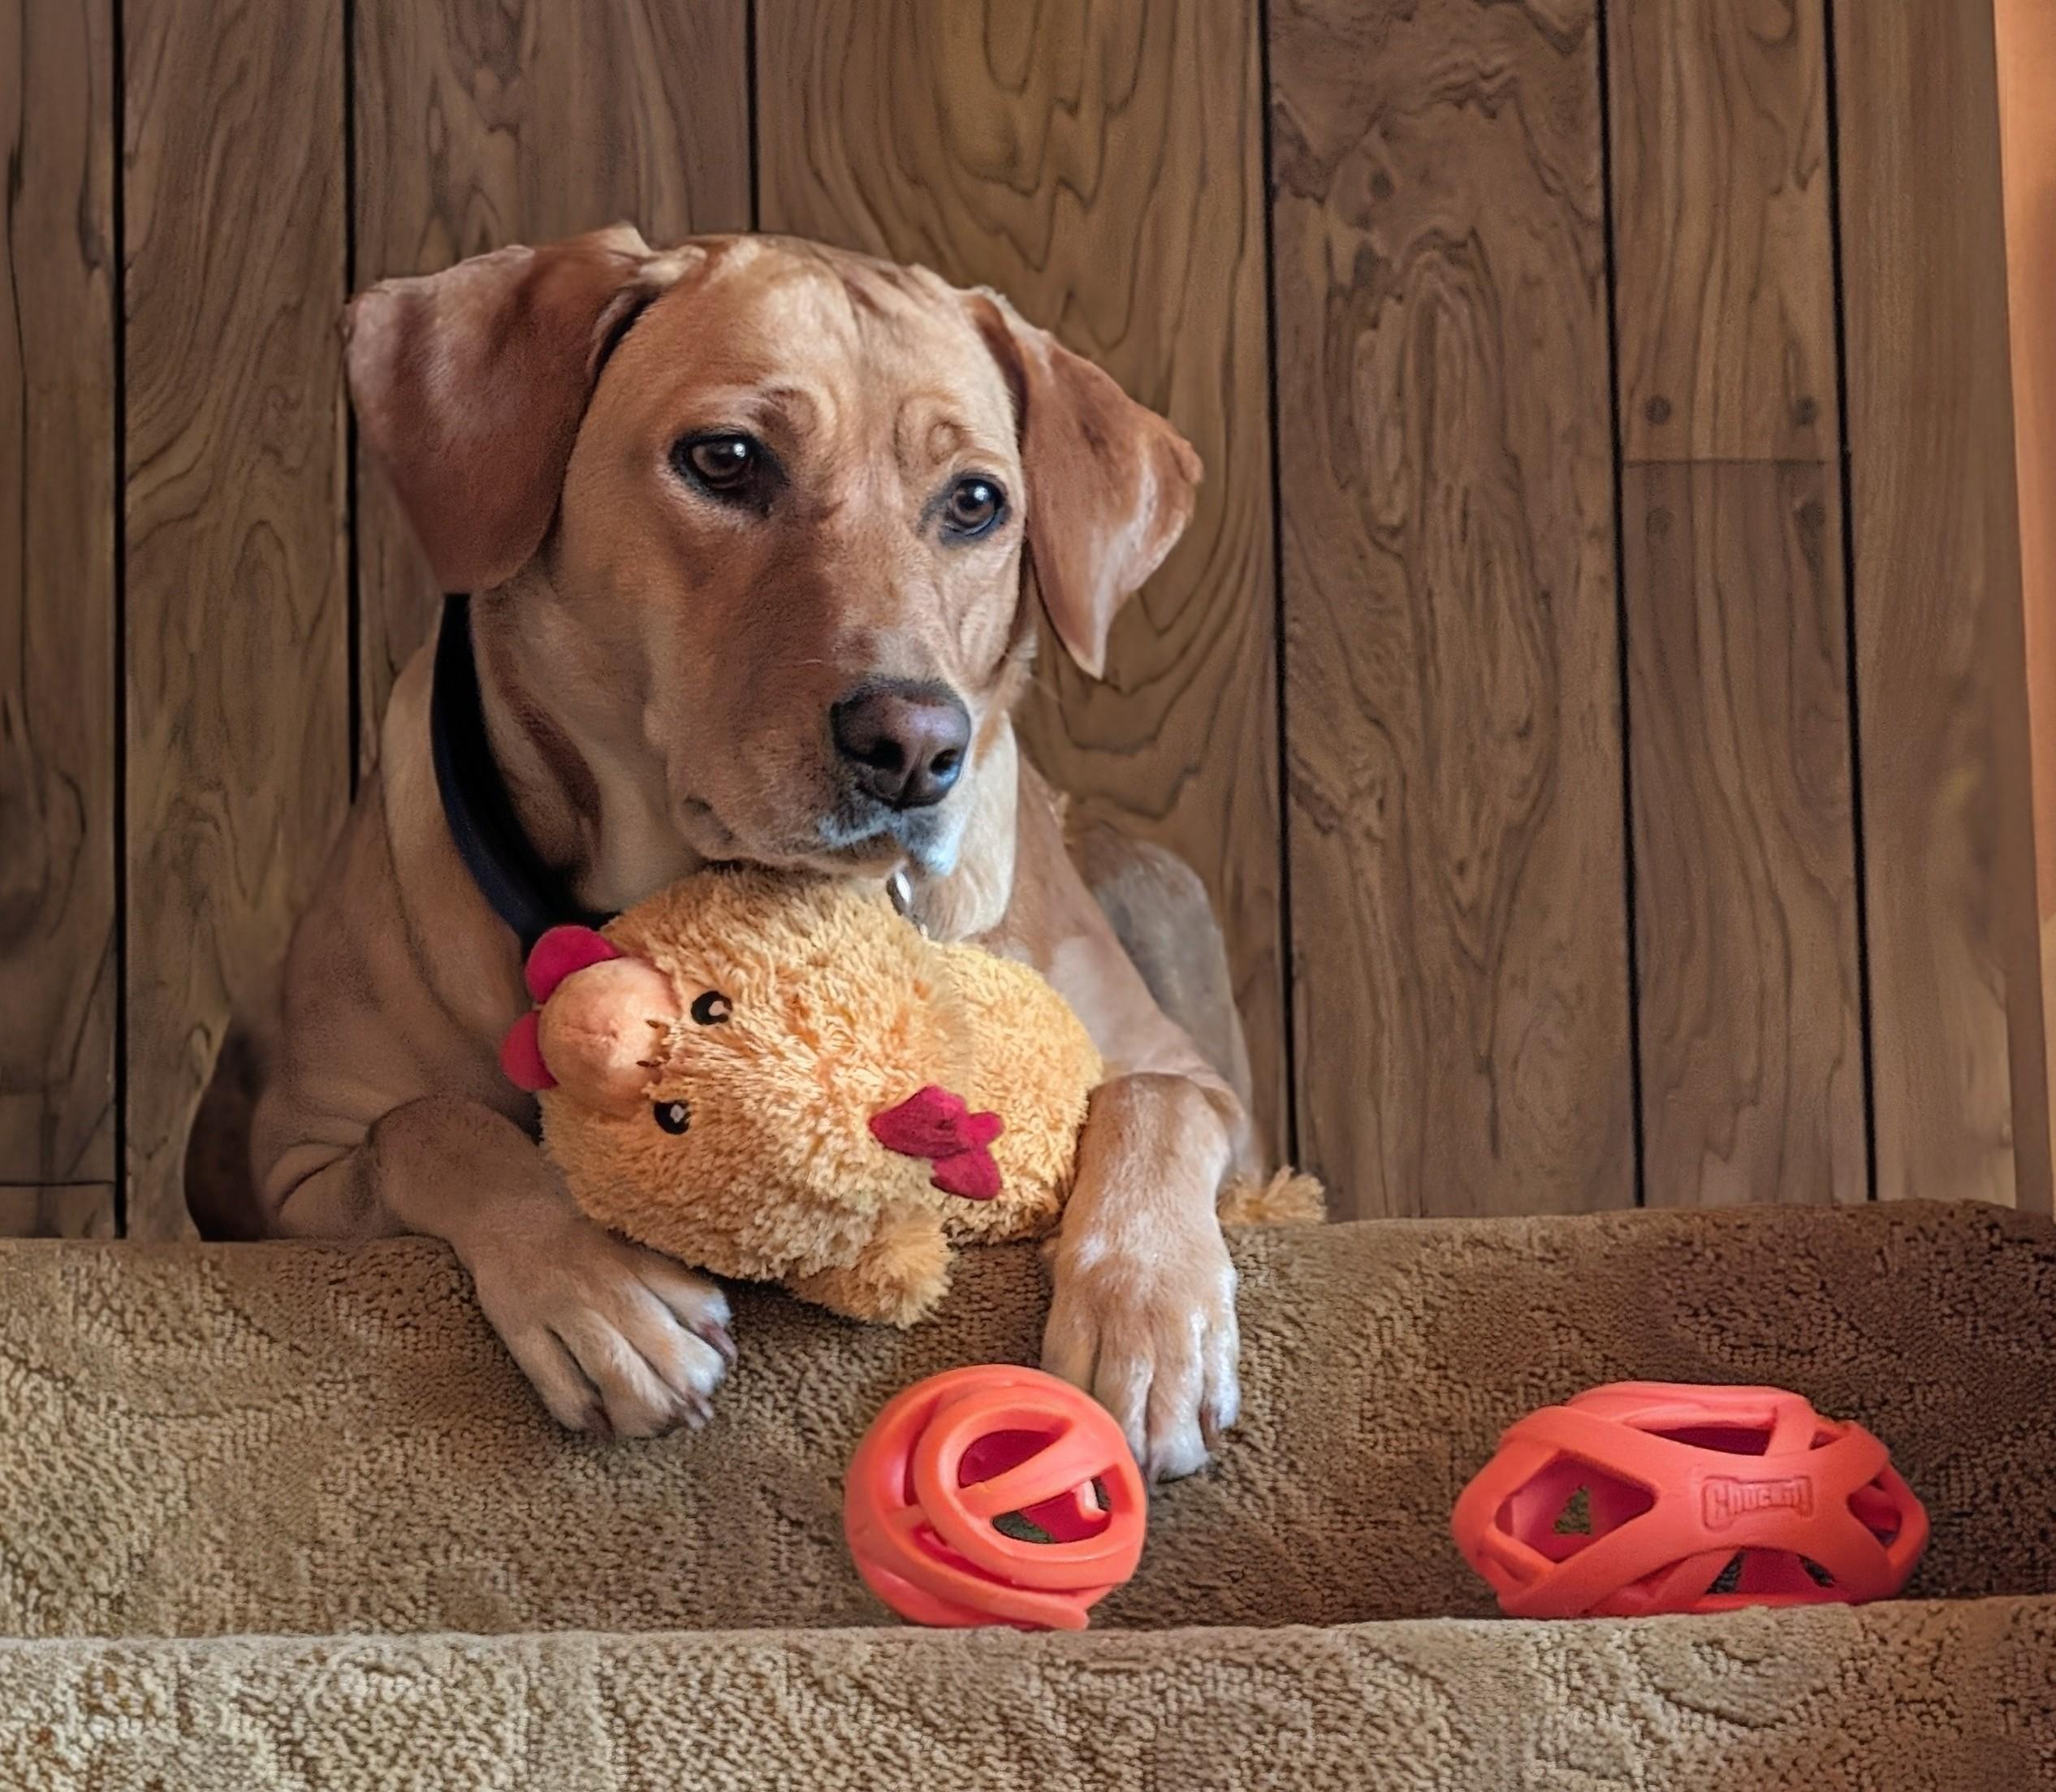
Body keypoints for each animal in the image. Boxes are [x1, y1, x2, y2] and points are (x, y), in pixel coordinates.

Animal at [239, 226, 1269, 1480]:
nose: (916, 748)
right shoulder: (289, 1170)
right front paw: (597, 1282)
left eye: (976, 501)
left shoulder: (1199, 1081)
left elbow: (1155, 1099)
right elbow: (429, 1124)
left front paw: (1147, 1310)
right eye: (726, 458)